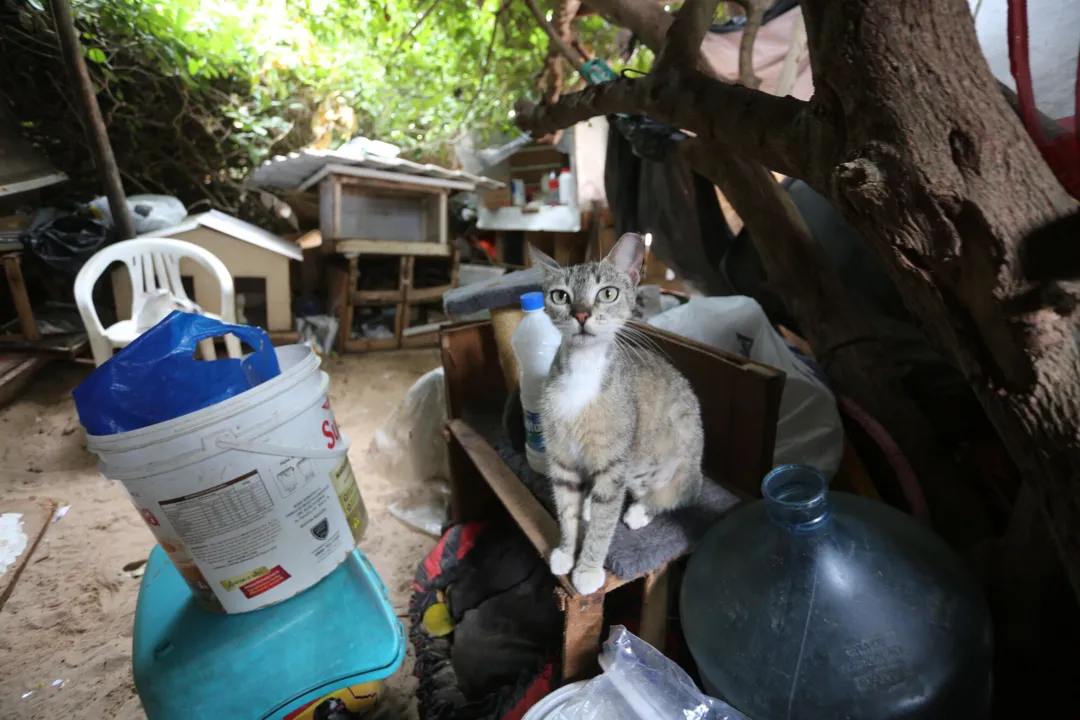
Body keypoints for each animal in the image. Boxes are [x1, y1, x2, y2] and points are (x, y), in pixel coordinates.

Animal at [529, 234, 699, 595]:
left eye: (607, 293)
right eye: (560, 295)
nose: (581, 314)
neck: (582, 371)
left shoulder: (613, 464)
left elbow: (604, 523)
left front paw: (588, 569)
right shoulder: (562, 460)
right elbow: (566, 508)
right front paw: (566, 550)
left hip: (654, 469)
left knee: (673, 496)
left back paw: (639, 512)